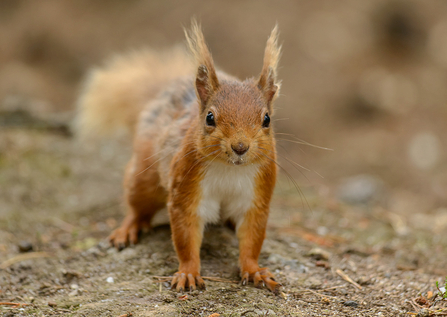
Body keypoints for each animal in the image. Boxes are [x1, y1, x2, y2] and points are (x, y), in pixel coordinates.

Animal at [75, 22, 282, 292]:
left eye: (266, 119)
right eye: (209, 117)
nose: (240, 147)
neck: (230, 168)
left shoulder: (256, 197)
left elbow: (252, 239)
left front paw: (255, 270)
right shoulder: (186, 189)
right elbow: (185, 237)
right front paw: (188, 273)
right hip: (144, 177)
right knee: (137, 207)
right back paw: (127, 229)